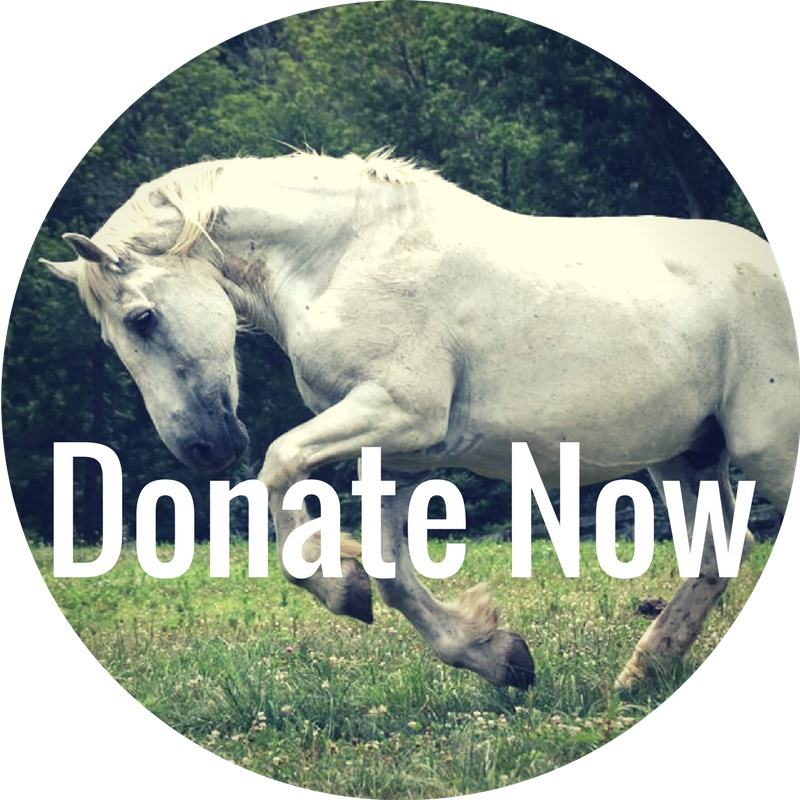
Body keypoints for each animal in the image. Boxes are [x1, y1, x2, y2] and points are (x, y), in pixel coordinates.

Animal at [43, 150, 798, 690]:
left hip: (768, 451)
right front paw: (497, 655)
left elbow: (279, 470)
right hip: (684, 456)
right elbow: (391, 572)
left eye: (142, 319)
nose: (202, 449)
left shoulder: (398, 414)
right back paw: (640, 675)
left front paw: (336, 582)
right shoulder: (399, 454)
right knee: (717, 555)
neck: (341, 258)